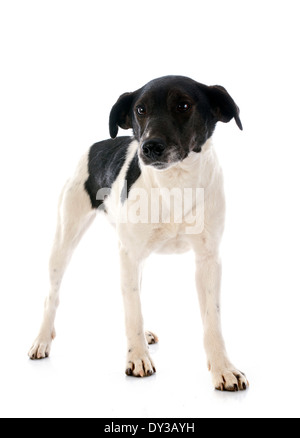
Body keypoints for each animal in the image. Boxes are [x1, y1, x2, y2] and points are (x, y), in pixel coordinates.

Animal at [28, 74, 248, 390]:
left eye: (183, 105)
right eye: (140, 110)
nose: (150, 146)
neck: (174, 184)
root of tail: (99, 144)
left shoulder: (208, 259)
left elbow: (212, 321)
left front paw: (223, 368)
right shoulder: (129, 254)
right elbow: (132, 312)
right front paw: (138, 358)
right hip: (64, 241)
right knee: (52, 296)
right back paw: (42, 340)